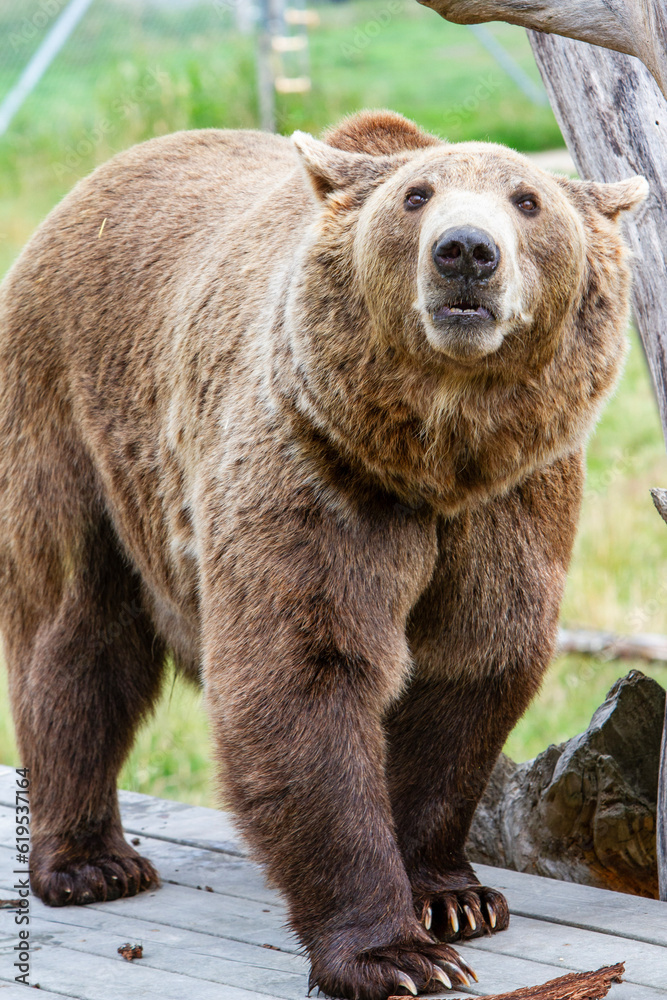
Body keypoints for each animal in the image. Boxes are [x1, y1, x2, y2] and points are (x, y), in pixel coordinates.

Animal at [0, 109, 648, 1000]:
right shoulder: (317, 473)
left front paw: (452, 898)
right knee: (73, 634)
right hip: (72, 416)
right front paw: (394, 953)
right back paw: (90, 862)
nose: (465, 252)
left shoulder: (510, 503)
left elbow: (468, 669)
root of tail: (91, 184)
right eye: (416, 195)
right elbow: (304, 673)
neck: (436, 453)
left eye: (527, 199)